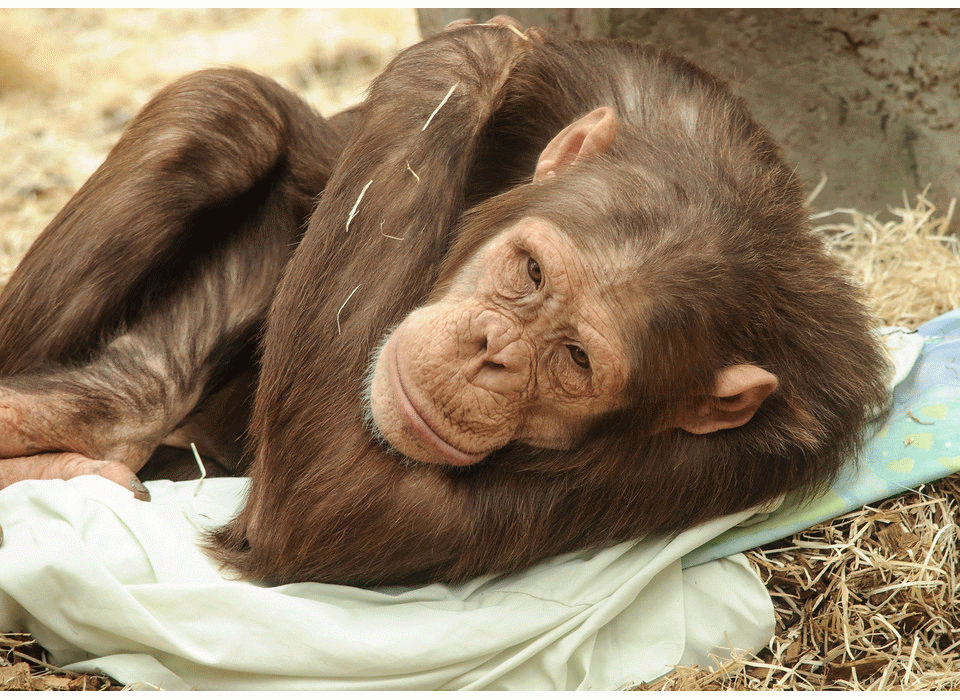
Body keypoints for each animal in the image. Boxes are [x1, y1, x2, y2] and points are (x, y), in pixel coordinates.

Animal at [0, 18, 889, 586]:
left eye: (575, 359)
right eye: (529, 273)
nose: (489, 353)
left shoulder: (755, 451)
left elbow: (344, 499)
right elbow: (322, 170)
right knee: (222, 115)